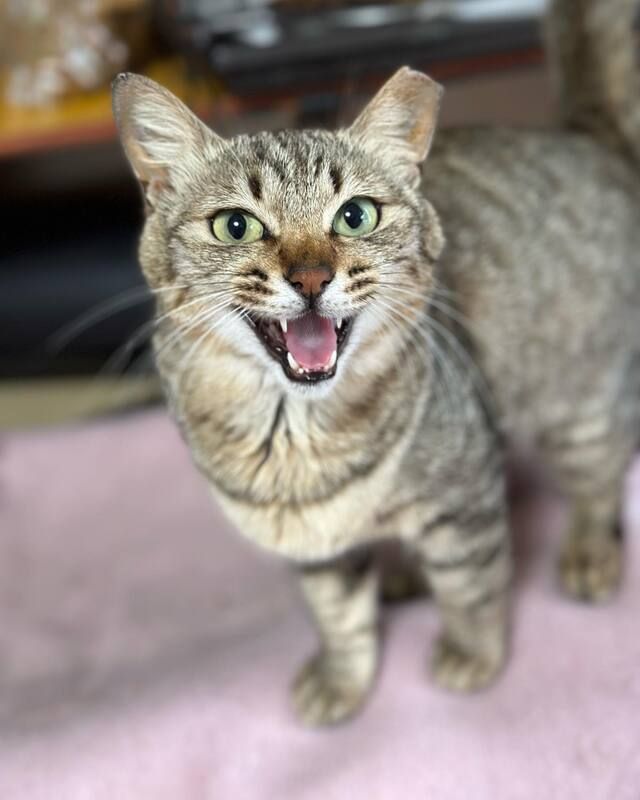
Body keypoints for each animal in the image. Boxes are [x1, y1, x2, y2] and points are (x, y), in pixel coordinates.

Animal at [112, 0, 640, 724]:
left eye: (355, 216)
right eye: (235, 226)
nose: (310, 276)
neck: (295, 439)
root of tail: (584, 135)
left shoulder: (464, 498)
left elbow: (472, 585)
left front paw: (472, 655)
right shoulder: (312, 545)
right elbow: (339, 616)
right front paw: (344, 680)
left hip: (578, 405)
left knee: (599, 478)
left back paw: (589, 551)